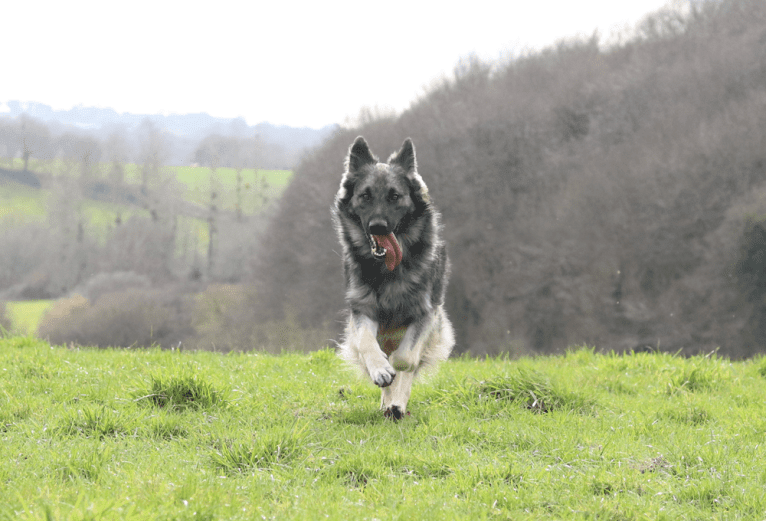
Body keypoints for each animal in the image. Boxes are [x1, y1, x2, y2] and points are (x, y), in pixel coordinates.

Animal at [332, 135, 452, 418]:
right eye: (365, 196)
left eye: (394, 196)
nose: (378, 227)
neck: (387, 271)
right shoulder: (363, 310)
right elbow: (366, 343)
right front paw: (381, 370)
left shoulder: (425, 314)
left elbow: (405, 359)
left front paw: (396, 380)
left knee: (409, 364)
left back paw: (397, 404)